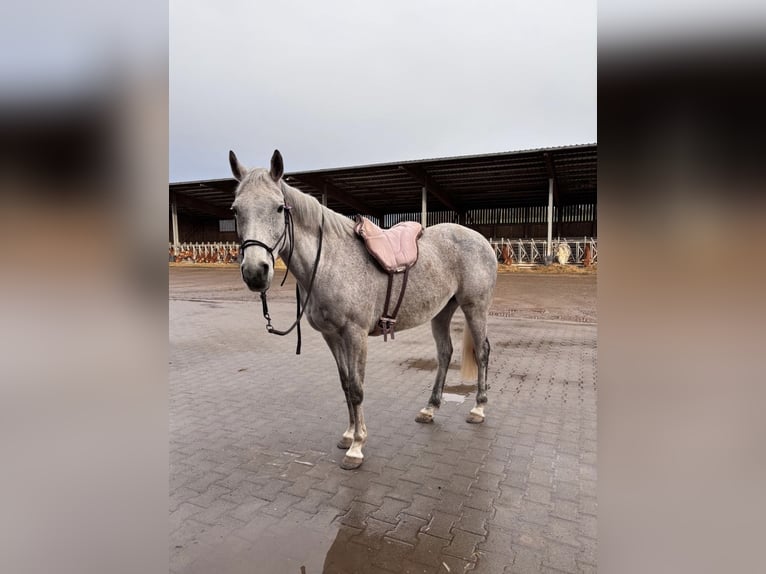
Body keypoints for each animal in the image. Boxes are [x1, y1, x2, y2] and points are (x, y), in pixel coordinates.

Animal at [229, 149, 498, 469]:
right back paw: (430, 409)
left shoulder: (354, 335)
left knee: (482, 352)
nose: (255, 272)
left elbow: (357, 388)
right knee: (445, 353)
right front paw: (348, 435)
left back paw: (479, 409)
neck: (330, 261)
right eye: (235, 210)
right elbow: (345, 384)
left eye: (280, 208)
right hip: (442, 312)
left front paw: (357, 447)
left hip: (475, 307)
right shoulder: (332, 336)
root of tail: (481, 240)